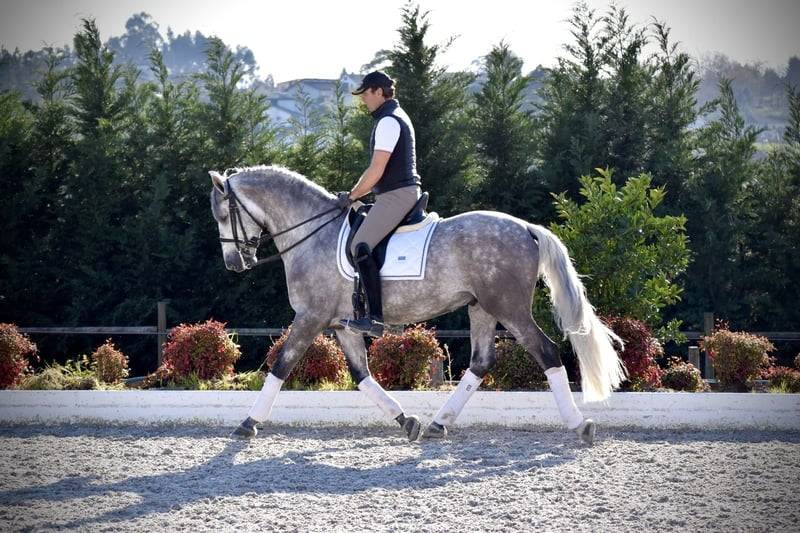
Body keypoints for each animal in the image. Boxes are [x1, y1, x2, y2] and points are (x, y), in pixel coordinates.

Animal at [209, 165, 625, 444]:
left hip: (509, 308)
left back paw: (579, 424)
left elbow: (282, 365)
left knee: (547, 351)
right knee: (481, 361)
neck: (312, 233)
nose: (233, 264)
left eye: (223, 214)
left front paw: (249, 422)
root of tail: (526, 228)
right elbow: (362, 376)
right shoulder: (342, 324)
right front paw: (406, 420)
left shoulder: (311, 317)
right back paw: (439, 423)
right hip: (482, 308)